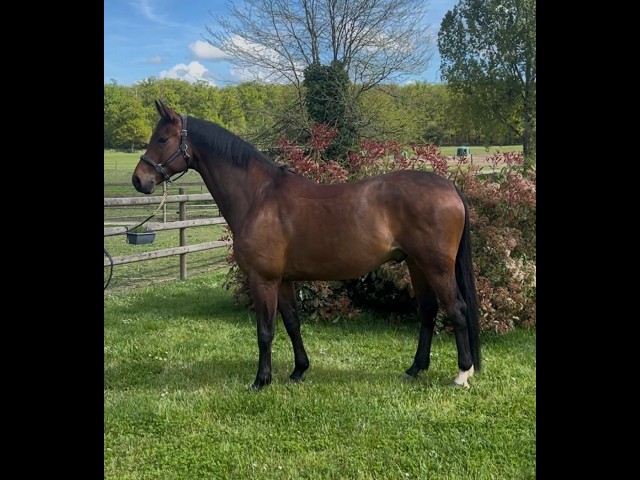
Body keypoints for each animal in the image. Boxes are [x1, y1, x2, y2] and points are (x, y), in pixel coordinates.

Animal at [132, 100, 480, 390]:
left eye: (162, 139)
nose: (139, 179)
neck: (259, 197)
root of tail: (449, 187)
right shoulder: (283, 280)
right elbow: (292, 324)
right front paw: (299, 370)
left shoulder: (263, 280)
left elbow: (265, 332)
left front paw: (261, 381)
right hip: (416, 264)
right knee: (428, 312)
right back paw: (414, 369)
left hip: (436, 267)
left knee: (457, 309)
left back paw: (462, 374)